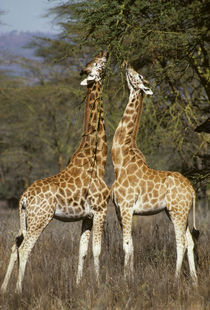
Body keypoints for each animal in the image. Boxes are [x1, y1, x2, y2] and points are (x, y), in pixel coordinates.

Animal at [1, 50, 110, 294]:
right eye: (97, 64)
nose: (105, 53)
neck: (97, 161)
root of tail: (24, 197)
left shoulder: (86, 216)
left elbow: (82, 251)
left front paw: (79, 285)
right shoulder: (100, 210)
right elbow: (97, 250)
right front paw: (99, 285)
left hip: (26, 219)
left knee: (14, 245)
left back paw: (4, 289)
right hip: (40, 218)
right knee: (24, 249)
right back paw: (18, 290)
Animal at [111, 64, 199, 284]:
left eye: (140, 75)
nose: (127, 66)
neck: (119, 161)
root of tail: (192, 190)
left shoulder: (126, 207)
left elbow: (126, 244)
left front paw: (125, 278)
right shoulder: (119, 209)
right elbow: (131, 244)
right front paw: (131, 275)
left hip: (177, 211)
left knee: (181, 242)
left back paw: (175, 278)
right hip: (176, 211)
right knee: (190, 241)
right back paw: (194, 280)